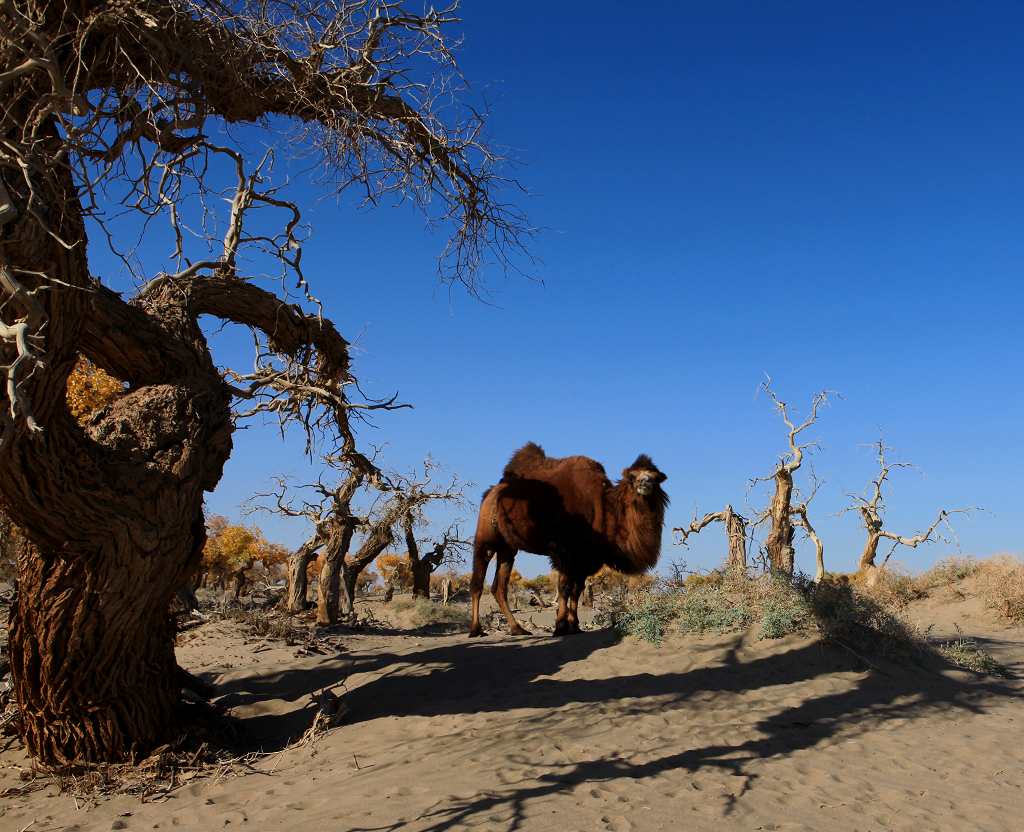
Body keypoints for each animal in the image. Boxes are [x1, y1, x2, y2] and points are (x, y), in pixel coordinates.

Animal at [468, 442, 667, 635]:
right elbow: (564, 588)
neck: (604, 510)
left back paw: (518, 629)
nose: (645, 482)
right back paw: (476, 630)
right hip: (486, 537)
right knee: (478, 581)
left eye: (656, 477)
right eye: (633, 476)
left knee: (499, 587)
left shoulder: (585, 557)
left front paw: (575, 626)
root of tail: (490, 493)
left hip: (507, 547)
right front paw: (561, 627)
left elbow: (576, 590)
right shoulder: (563, 550)